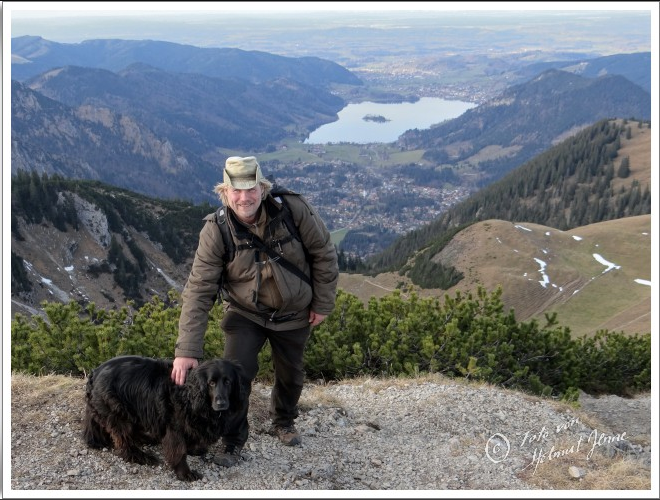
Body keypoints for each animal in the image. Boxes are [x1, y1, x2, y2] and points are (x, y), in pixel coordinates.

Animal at [82, 356, 248, 480]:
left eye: (228, 382)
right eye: (211, 383)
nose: (221, 403)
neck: (191, 394)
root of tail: (95, 372)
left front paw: (194, 449)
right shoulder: (174, 427)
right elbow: (179, 450)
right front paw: (185, 473)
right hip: (118, 411)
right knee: (124, 440)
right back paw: (140, 456)